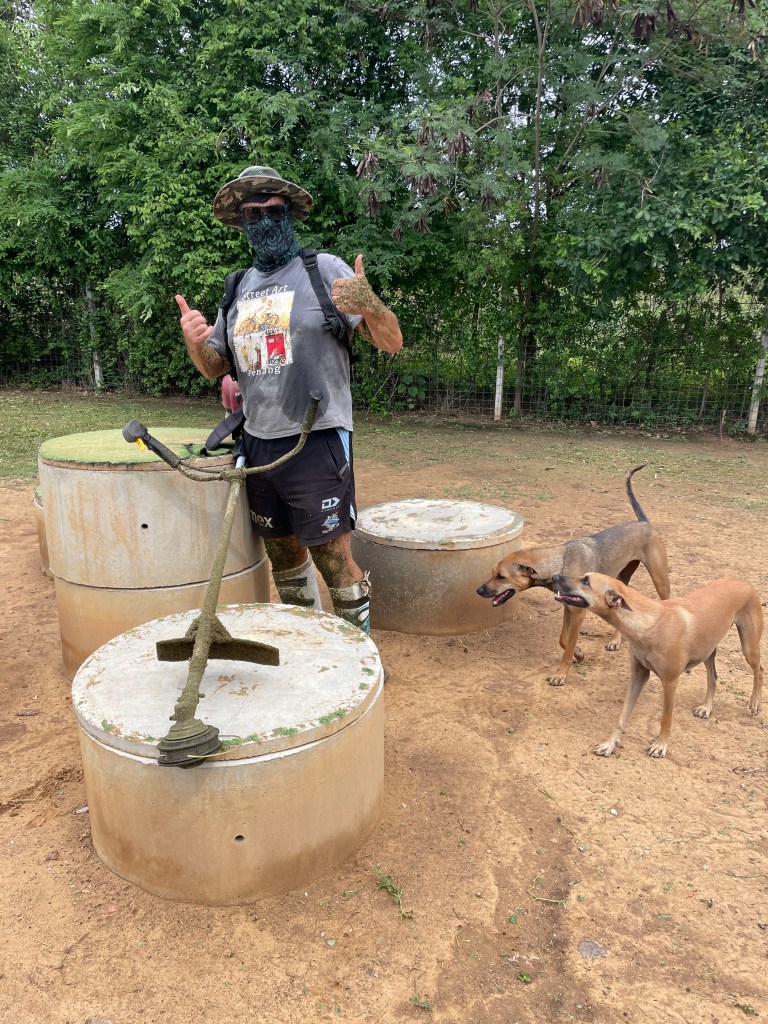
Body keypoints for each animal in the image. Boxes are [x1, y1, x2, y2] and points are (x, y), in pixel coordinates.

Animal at [476, 464, 670, 685]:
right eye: (492, 572)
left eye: (501, 576)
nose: (479, 590)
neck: (559, 562)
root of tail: (644, 522)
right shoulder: (567, 607)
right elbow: (563, 639)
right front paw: (579, 653)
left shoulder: (578, 613)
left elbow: (567, 647)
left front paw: (561, 674)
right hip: (621, 579)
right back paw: (615, 641)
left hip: (660, 579)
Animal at [552, 572, 763, 758]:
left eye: (586, 581)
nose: (554, 576)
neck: (648, 622)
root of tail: (742, 581)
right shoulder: (638, 675)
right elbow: (622, 716)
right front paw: (610, 745)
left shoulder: (670, 682)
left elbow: (666, 719)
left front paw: (660, 746)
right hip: (708, 651)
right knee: (713, 677)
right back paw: (706, 707)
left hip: (748, 647)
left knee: (759, 669)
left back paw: (755, 703)